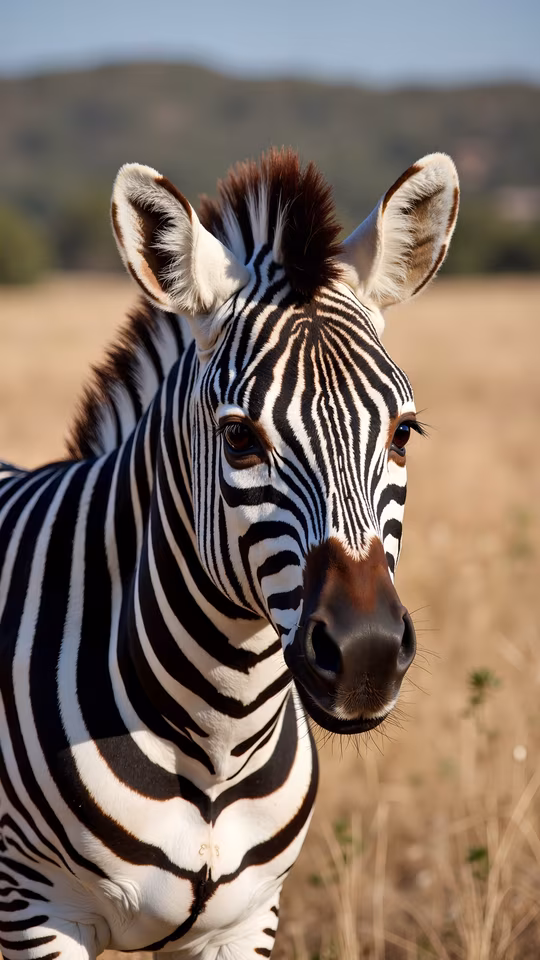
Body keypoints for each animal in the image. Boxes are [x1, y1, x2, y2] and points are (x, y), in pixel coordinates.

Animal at [0, 148, 458, 960]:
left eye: (403, 432)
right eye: (240, 436)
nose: (367, 655)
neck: (218, 738)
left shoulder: (245, 920)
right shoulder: (38, 909)